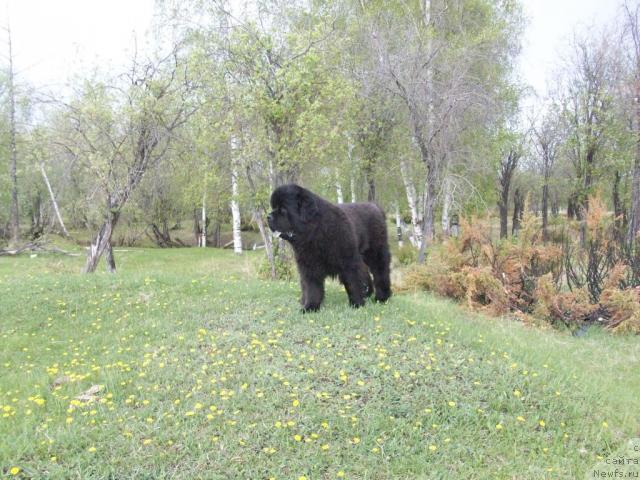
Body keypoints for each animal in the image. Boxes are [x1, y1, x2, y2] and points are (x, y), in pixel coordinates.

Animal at [266, 184, 390, 312]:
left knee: (381, 272)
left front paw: (357, 304)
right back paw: (367, 293)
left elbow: (352, 283)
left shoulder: (348, 262)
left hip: (376, 252)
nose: (268, 216)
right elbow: (311, 287)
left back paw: (382, 297)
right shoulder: (308, 266)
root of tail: (376, 207)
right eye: (274, 207)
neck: (316, 231)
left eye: (283, 209)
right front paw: (310, 307)